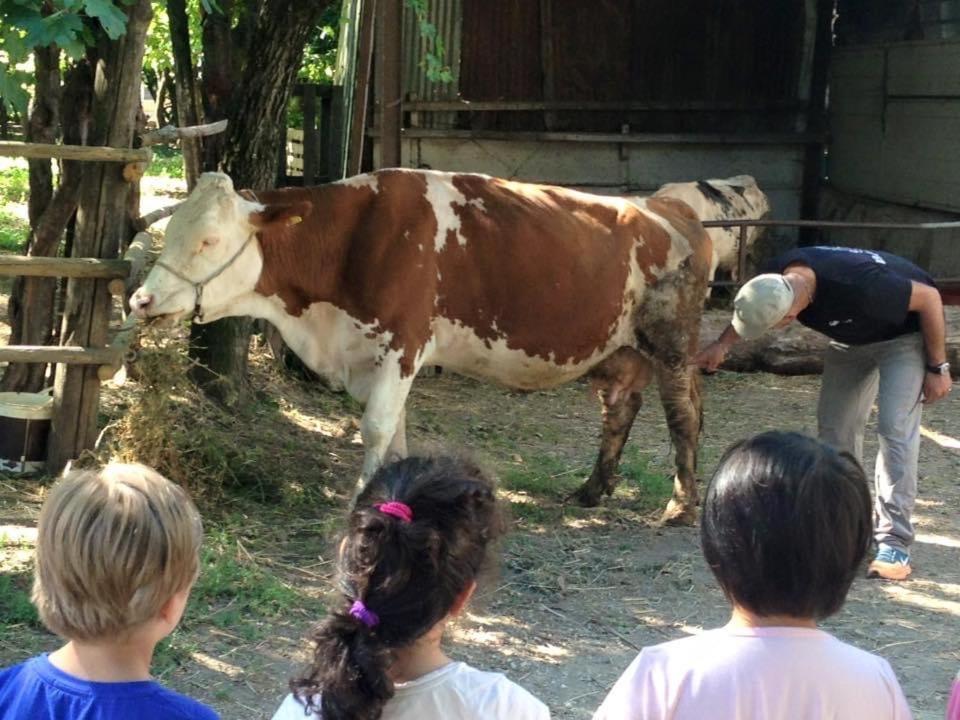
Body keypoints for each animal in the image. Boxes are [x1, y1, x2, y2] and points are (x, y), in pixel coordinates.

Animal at [129, 169, 712, 524]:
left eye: (208, 240)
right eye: (173, 229)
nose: (141, 298)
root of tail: (667, 207)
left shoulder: (402, 344)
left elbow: (376, 427)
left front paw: (360, 505)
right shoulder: (378, 353)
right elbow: (398, 433)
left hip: (672, 344)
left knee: (683, 416)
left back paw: (680, 507)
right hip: (620, 349)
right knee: (620, 409)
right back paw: (593, 490)